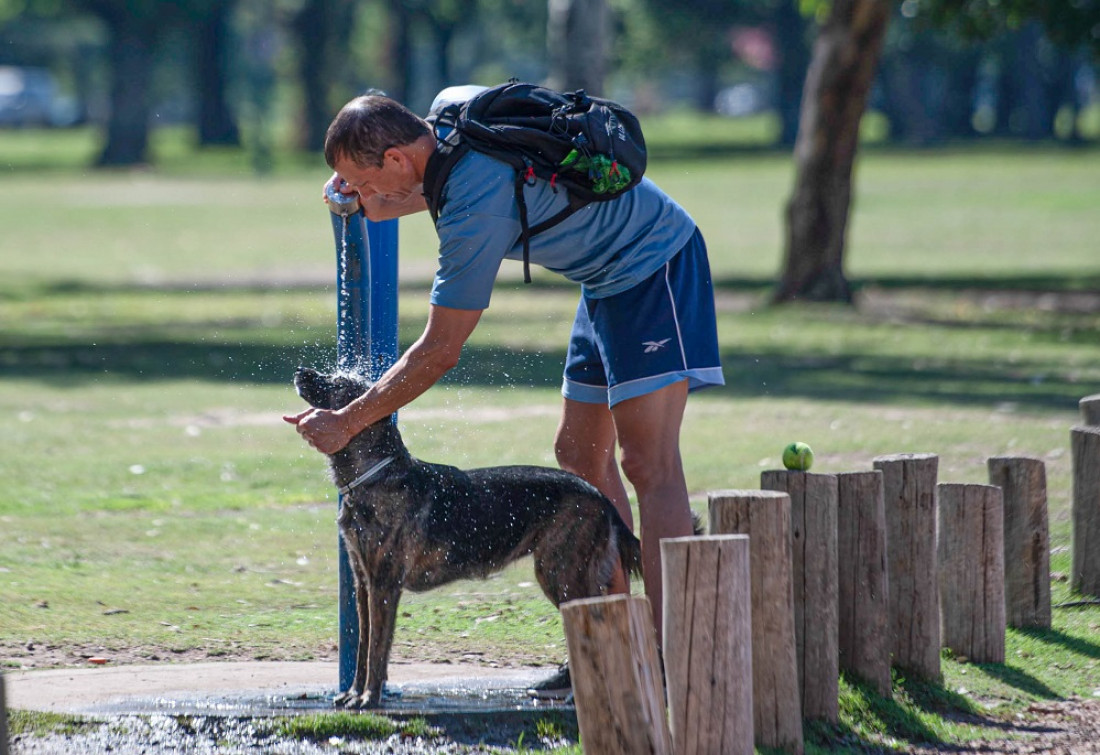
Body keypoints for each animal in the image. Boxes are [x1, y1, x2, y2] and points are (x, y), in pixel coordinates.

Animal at [294, 367, 642, 708]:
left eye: (337, 382)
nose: (300, 371)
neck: (376, 475)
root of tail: (600, 496)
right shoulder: (363, 583)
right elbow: (363, 647)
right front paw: (353, 693)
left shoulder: (383, 585)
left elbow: (377, 649)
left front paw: (370, 698)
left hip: (561, 575)